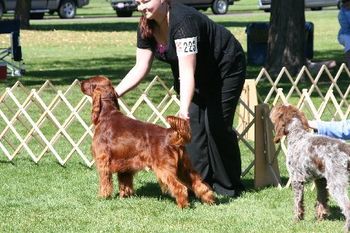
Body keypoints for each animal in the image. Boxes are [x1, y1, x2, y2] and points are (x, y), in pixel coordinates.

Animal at [272, 104, 350, 232]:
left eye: (279, 108)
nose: (273, 106)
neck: (297, 135)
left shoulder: (296, 179)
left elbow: (297, 203)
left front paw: (296, 220)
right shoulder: (321, 180)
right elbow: (321, 200)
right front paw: (320, 219)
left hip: (335, 184)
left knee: (347, 206)